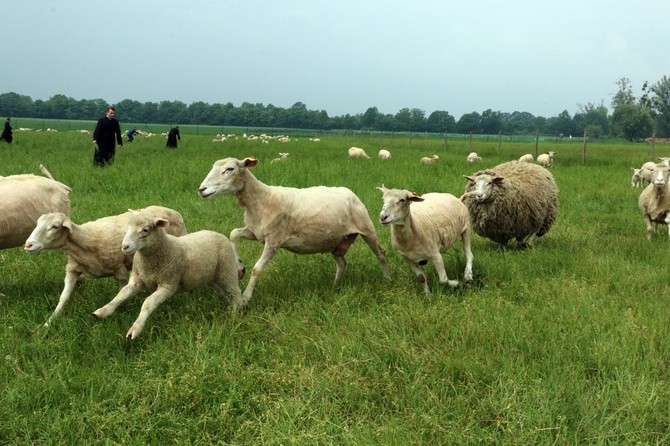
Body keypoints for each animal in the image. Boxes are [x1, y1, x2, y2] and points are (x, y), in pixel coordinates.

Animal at [25, 206, 188, 324]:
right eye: (37, 224)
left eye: (55, 226)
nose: (28, 245)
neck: (83, 242)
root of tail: (173, 211)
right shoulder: (72, 269)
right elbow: (63, 297)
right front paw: (51, 320)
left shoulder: (119, 270)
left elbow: (121, 292)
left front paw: (122, 310)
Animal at [92, 208, 242, 338]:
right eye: (128, 227)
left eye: (145, 229)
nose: (124, 246)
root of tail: (217, 233)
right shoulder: (137, 279)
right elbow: (122, 294)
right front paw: (102, 311)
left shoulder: (168, 284)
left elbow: (148, 302)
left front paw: (135, 328)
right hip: (212, 277)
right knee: (222, 292)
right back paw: (226, 306)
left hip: (227, 270)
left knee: (235, 292)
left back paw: (235, 314)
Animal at [197, 156, 392, 304]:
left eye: (230, 169)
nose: (201, 189)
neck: (262, 199)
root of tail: (351, 193)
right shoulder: (255, 232)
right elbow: (234, 234)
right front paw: (239, 268)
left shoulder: (274, 240)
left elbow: (257, 269)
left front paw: (245, 297)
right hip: (335, 241)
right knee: (342, 263)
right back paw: (335, 285)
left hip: (367, 228)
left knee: (381, 254)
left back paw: (388, 279)